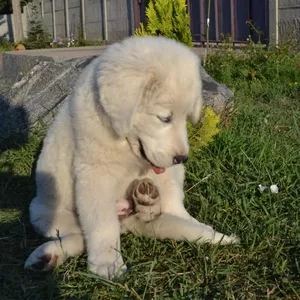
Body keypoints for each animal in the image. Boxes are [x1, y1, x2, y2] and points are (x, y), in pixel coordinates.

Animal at [24, 35, 238, 278]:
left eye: (185, 117)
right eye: (164, 118)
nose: (182, 158)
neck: (125, 143)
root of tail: (126, 221)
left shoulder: (163, 166)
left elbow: (173, 197)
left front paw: (192, 223)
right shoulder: (95, 172)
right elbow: (102, 223)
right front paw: (108, 263)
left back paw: (147, 200)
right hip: (46, 213)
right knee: (80, 234)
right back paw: (47, 255)